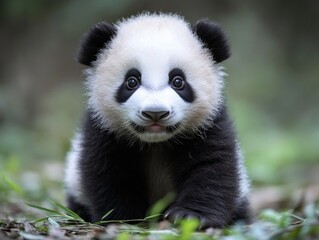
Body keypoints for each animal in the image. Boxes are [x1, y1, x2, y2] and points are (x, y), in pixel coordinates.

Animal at [64, 13, 250, 229]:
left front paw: (190, 216)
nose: (155, 113)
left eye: (178, 81)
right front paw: (126, 218)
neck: (155, 143)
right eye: (131, 81)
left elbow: (212, 167)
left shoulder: (209, 124)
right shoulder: (103, 129)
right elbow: (107, 172)